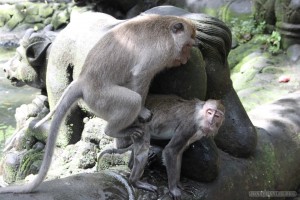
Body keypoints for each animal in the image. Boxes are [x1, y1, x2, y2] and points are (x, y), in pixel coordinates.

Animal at [0, 14, 196, 193]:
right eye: (187, 46)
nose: (187, 59)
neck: (166, 31)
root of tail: (83, 81)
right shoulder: (156, 56)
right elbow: (139, 76)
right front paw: (143, 111)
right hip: (100, 97)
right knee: (132, 100)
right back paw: (115, 130)